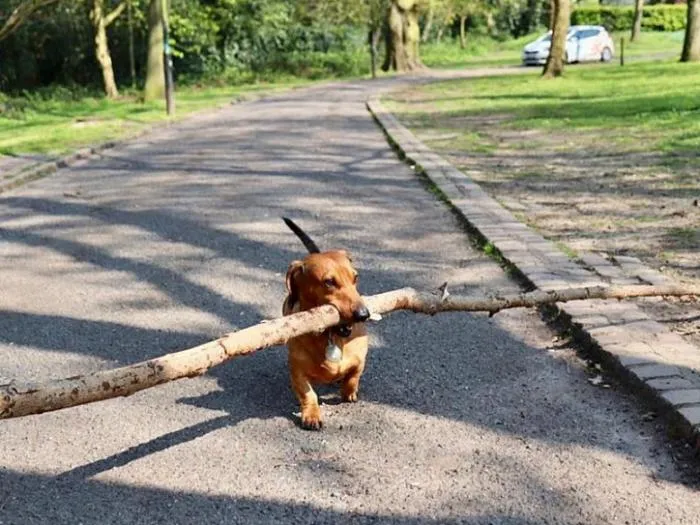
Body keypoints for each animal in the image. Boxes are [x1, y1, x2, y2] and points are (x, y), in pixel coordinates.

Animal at [282, 218, 370, 430]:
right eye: (329, 282)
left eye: (355, 277)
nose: (364, 315)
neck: (332, 335)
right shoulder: (297, 371)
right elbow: (308, 394)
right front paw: (311, 415)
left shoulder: (361, 357)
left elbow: (353, 376)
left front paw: (348, 392)